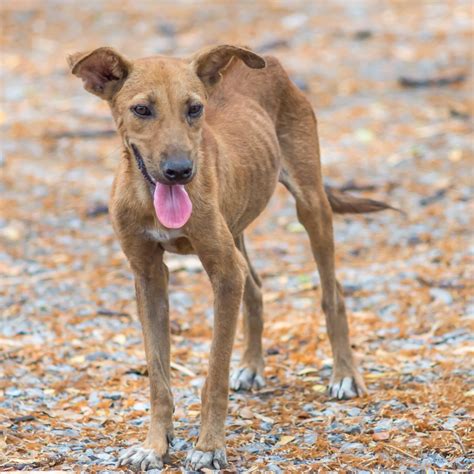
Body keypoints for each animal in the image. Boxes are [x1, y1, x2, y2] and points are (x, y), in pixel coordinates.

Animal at [66, 43, 392, 470]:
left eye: (194, 109)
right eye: (141, 109)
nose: (180, 171)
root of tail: (272, 60)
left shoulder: (222, 273)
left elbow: (215, 372)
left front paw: (208, 446)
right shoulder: (149, 275)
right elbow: (157, 376)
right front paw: (155, 445)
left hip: (310, 204)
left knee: (331, 291)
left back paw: (345, 375)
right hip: (237, 227)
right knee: (254, 286)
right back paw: (252, 367)